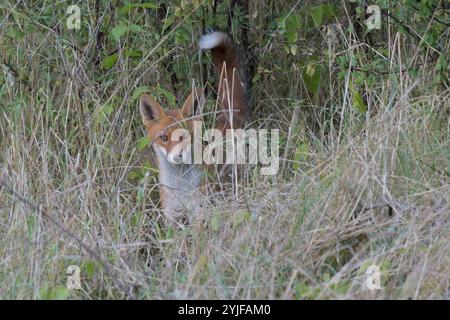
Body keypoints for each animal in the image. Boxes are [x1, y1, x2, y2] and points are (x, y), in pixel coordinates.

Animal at [140, 31, 248, 222]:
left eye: (185, 136)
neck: (180, 187)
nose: (178, 156)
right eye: (163, 138)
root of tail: (228, 117)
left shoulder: (197, 214)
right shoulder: (171, 216)